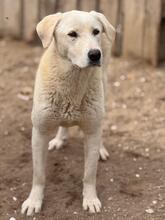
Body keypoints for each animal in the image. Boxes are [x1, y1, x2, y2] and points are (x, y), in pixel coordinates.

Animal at [21, 9, 115, 215]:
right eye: (72, 34)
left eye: (96, 32)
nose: (95, 54)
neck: (74, 79)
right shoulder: (39, 133)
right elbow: (38, 175)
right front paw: (34, 201)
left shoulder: (91, 132)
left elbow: (89, 174)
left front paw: (90, 199)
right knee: (64, 124)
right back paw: (59, 139)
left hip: (103, 94)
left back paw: (101, 149)